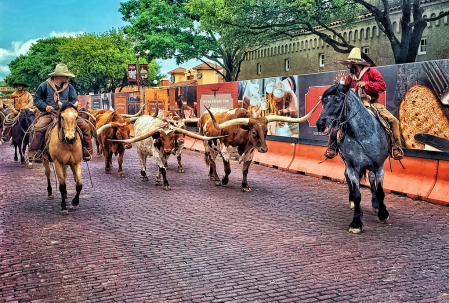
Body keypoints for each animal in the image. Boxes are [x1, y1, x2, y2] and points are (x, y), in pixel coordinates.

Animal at [316, 83, 388, 235]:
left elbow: (380, 191)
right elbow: (356, 194)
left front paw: (383, 213)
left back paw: (376, 204)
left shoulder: (379, 166)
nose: (320, 123)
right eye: (324, 101)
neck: (363, 134)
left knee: (371, 180)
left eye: (337, 100)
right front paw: (356, 222)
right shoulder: (352, 167)